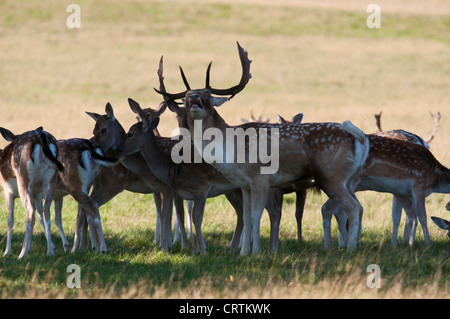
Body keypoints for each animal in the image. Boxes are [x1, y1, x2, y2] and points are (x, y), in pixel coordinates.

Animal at [0, 126, 64, 258]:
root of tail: (42, 139)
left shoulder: (7, 191)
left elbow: (10, 219)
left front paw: (7, 252)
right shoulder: (37, 193)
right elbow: (39, 217)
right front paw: (49, 247)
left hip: (23, 178)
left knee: (30, 211)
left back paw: (22, 254)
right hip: (51, 179)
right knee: (46, 212)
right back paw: (50, 252)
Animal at [155, 42, 370, 255]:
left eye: (207, 94)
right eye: (185, 96)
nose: (193, 97)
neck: (230, 150)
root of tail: (358, 138)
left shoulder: (260, 178)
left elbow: (257, 214)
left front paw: (256, 252)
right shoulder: (245, 184)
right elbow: (247, 215)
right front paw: (244, 253)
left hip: (330, 175)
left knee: (353, 208)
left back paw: (351, 250)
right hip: (348, 179)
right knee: (358, 207)